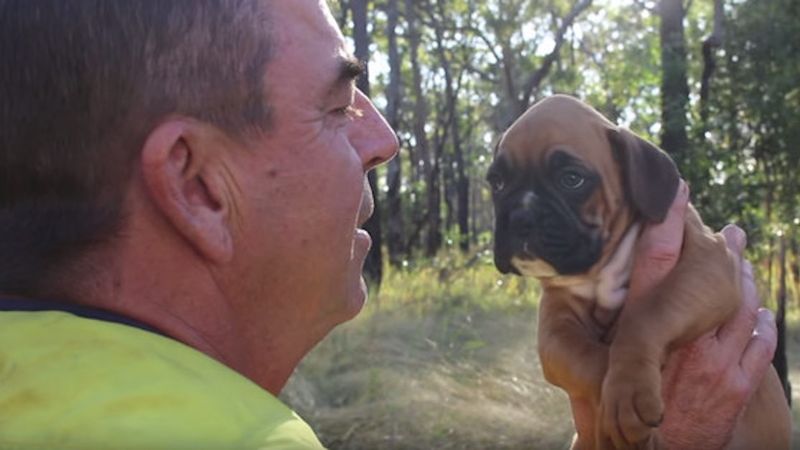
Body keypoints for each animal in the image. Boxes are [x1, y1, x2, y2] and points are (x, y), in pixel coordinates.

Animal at [490, 95, 792, 450]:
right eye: (497, 182)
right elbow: (589, 360)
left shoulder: (707, 265)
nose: (519, 216)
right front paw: (613, 409)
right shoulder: (554, 332)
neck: (601, 271)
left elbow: (648, 315)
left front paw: (626, 391)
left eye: (571, 179)